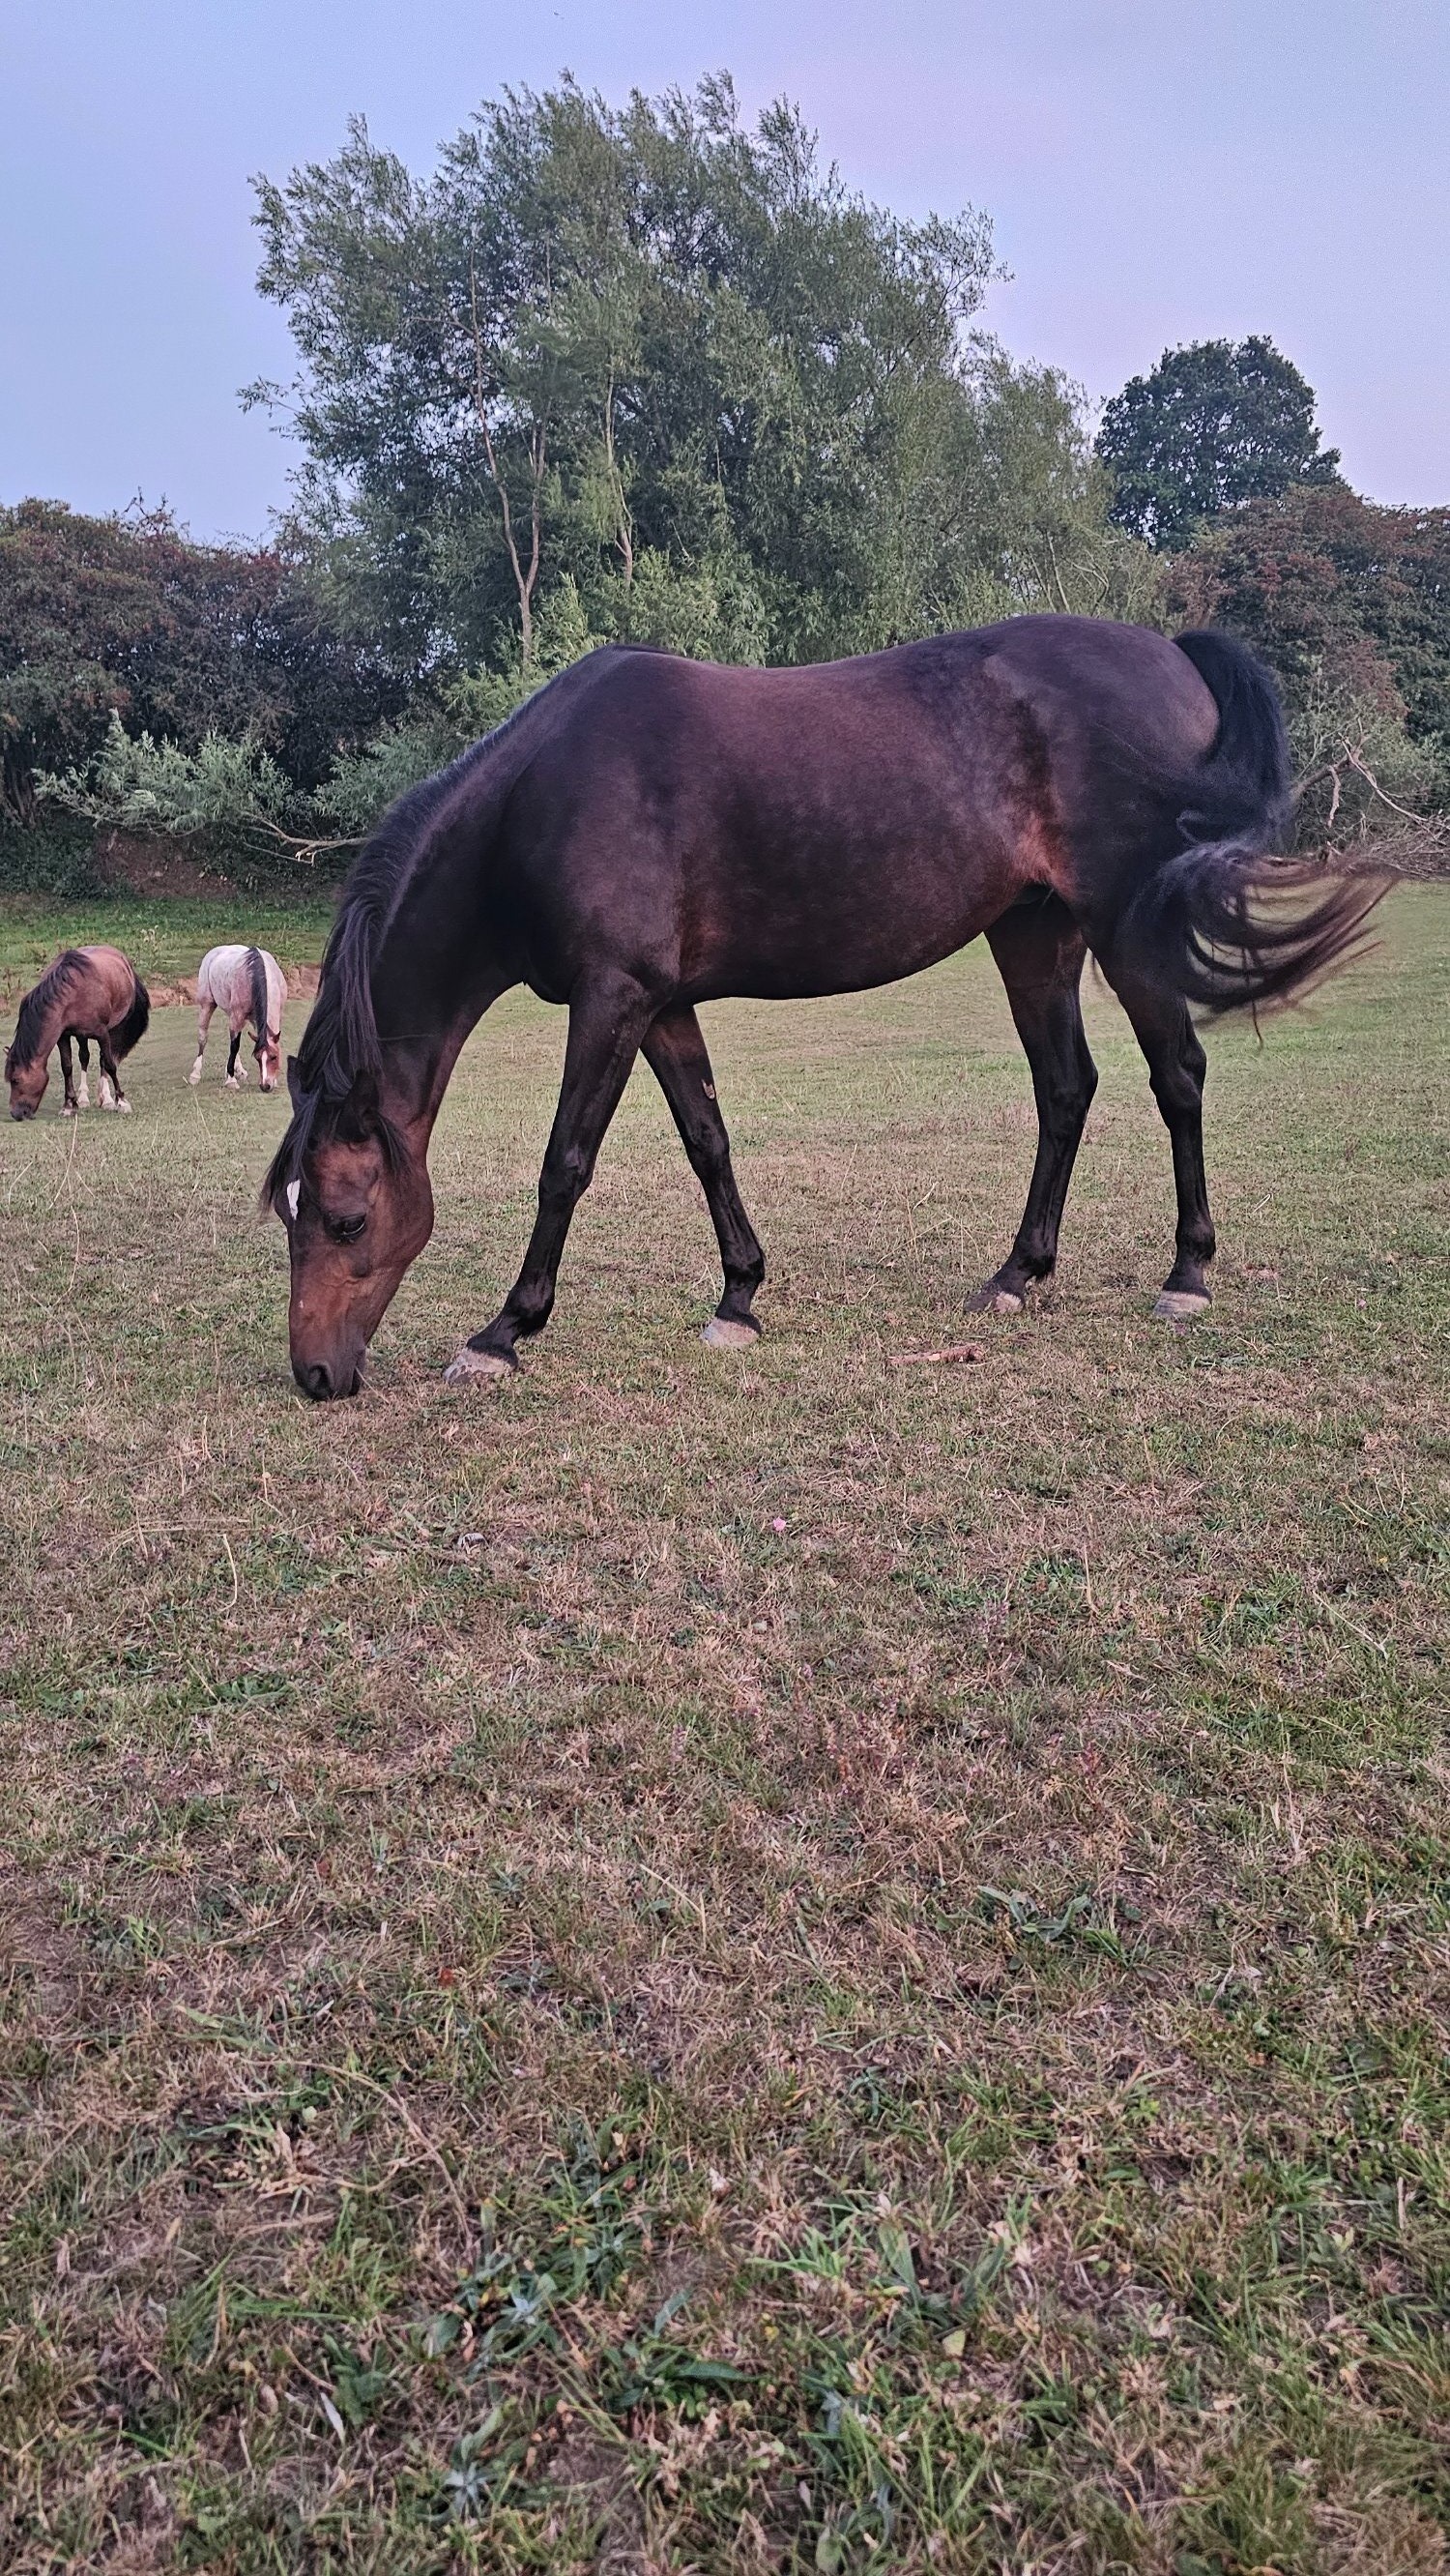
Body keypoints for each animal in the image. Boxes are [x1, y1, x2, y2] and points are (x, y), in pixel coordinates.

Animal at [5, 946, 150, 1120]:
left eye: (15, 1080)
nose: (15, 1113)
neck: (71, 994)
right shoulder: (63, 1036)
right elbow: (67, 1067)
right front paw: (69, 1105)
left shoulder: (102, 1033)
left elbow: (110, 1065)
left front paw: (121, 1102)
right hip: (82, 1035)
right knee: (84, 1057)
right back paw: (83, 1099)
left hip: (111, 1029)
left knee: (104, 1060)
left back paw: (107, 1099)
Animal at [189, 945, 286, 1091]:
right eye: (257, 1058)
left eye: (274, 1057)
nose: (265, 1086)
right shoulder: (237, 1015)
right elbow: (234, 1046)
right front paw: (231, 1080)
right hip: (207, 1005)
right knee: (203, 1037)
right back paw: (195, 1074)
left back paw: (239, 1070)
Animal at [262, 616, 1384, 1402]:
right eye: (290, 1212)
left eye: (346, 1216)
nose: (315, 1375)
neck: (543, 799)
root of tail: (1174, 656)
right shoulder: (661, 1005)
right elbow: (708, 1141)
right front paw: (739, 1297)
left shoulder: (612, 997)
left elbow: (564, 1164)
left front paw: (503, 1332)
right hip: (1035, 935)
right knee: (1067, 1089)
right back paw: (1017, 1274)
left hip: (1126, 924)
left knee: (1176, 1078)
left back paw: (1188, 1274)